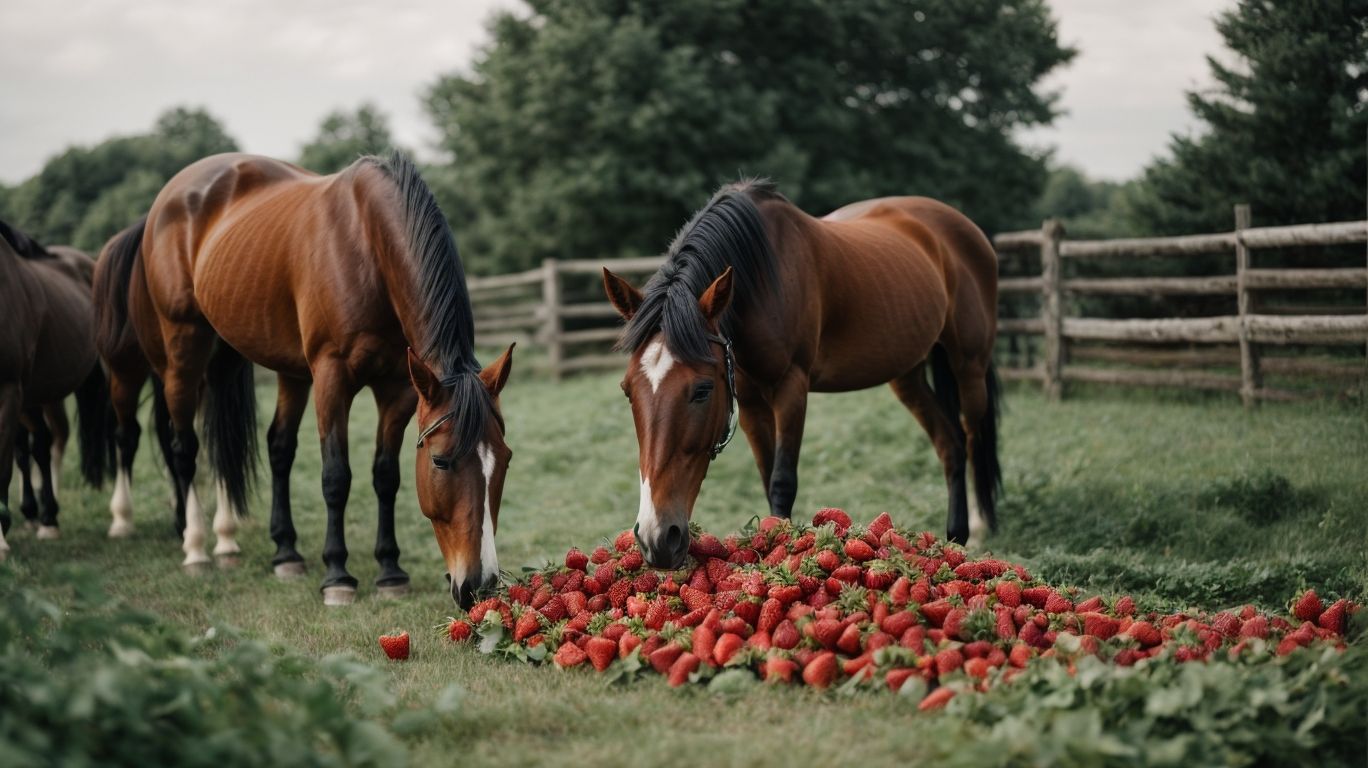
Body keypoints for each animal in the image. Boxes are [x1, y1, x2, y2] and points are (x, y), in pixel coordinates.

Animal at [114, 150, 513, 607]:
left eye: (505, 460)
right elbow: (336, 476)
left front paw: (390, 570)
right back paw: (195, 545)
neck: (367, 242)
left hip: (255, 363)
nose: (480, 586)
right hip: (183, 350)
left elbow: (385, 476)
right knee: (185, 449)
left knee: (275, 448)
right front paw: (338, 575)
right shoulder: (331, 376)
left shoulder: (398, 389)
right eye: (441, 461)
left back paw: (268, 549)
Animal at [602, 181, 1001, 569]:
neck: (762, 279)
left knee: (971, 436)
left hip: (969, 365)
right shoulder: (748, 401)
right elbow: (767, 479)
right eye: (627, 391)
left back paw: (980, 526)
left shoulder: (791, 388)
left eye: (701, 390)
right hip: (908, 375)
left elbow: (782, 481)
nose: (656, 538)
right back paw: (956, 536)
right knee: (950, 444)